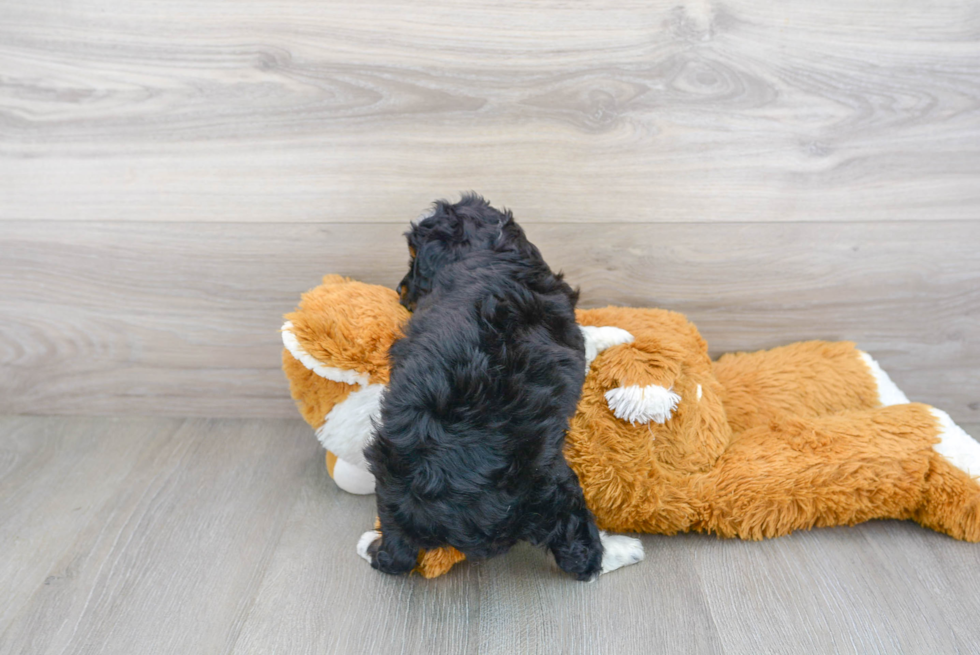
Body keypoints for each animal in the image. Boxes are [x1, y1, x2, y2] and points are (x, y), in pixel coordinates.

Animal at [360, 193, 644, 580]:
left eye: (413, 259)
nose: (399, 290)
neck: (483, 251)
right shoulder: (569, 332)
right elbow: (589, 335)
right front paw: (617, 333)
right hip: (549, 486)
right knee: (579, 554)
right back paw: (624, 549)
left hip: (387, 488)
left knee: (395, 556)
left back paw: (371, 544)